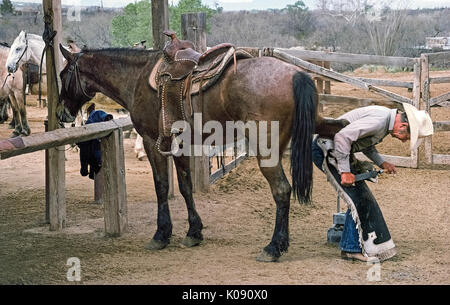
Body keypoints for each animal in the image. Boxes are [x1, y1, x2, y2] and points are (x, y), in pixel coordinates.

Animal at [56, 44, 344, 260]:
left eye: (62, 74)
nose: (61, 113)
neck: (137, 77)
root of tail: (297, 75)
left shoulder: (152, 141)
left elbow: (162, 185)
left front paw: (161, 234)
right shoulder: (180, 145)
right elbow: (185, 186)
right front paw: (194, 232)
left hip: (267, 152)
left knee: (282, 190)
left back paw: (274, 247)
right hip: (317, 125)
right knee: (339, 131)